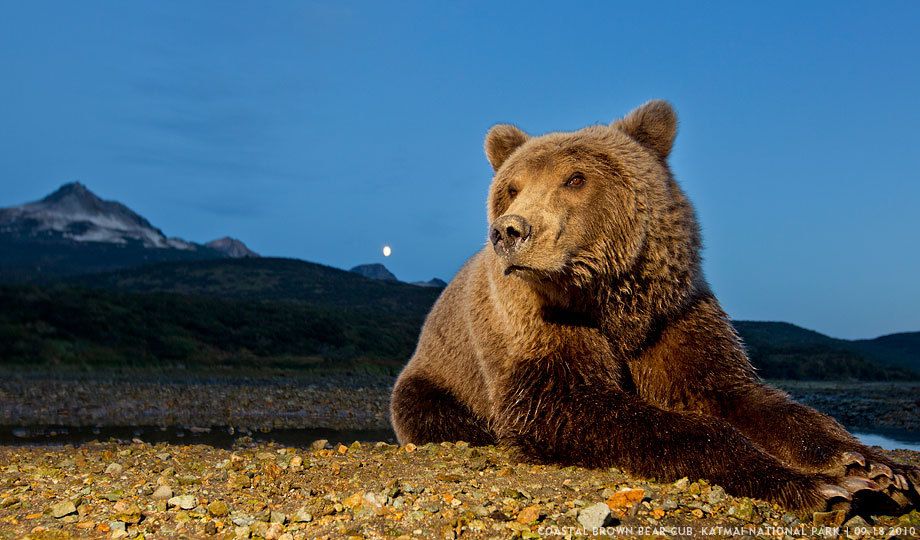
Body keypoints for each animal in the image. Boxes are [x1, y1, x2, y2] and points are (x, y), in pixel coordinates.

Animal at [390, 101, 920, 510]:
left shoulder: (673, 318)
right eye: (512, 187)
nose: (510, 231)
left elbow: (743, 395)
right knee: (436, 412)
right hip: (437, 375)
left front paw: (875, 465)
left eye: (575, 178)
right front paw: (819, 486)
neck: (608, 299)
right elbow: (577, 407)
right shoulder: (541, 330)